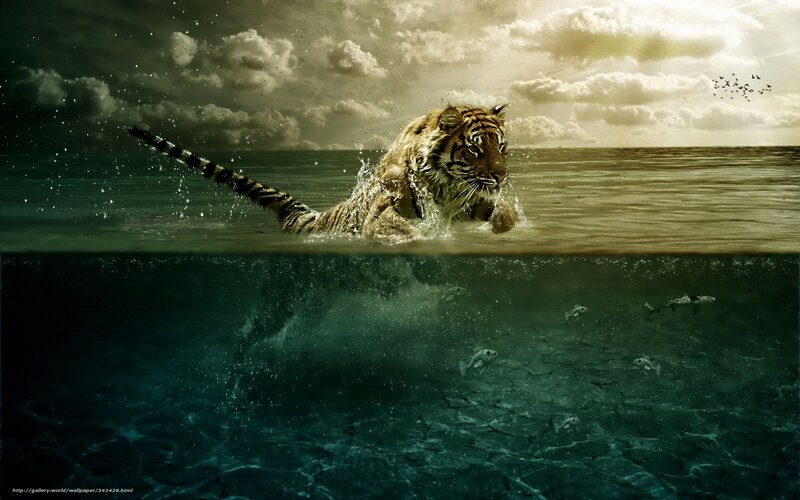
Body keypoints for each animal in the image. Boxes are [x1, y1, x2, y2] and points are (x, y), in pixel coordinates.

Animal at [128, 104, 517, 244]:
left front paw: (503, 224)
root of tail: (305, 217)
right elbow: (401, 229)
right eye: (475, 149)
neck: (447, 188)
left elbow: (504, 214)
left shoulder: (470, 200)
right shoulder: (383, 213)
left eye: (501, 147)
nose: (501, 177)